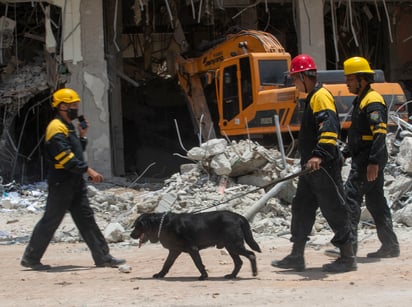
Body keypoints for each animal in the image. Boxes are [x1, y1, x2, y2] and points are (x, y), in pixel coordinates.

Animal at [130, 212, 262, 282]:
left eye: (137, 226)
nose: (131, 235)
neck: (163, 225)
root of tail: (238, 216)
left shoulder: (192, 249)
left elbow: (198, 263)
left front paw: (204, 276)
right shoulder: (174, 251)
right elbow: (166, 264)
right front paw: (160, 274)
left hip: (234, 245)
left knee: (251, 254)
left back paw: (254, 272)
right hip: (230, 247)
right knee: (239, 262)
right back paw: (231, 276)